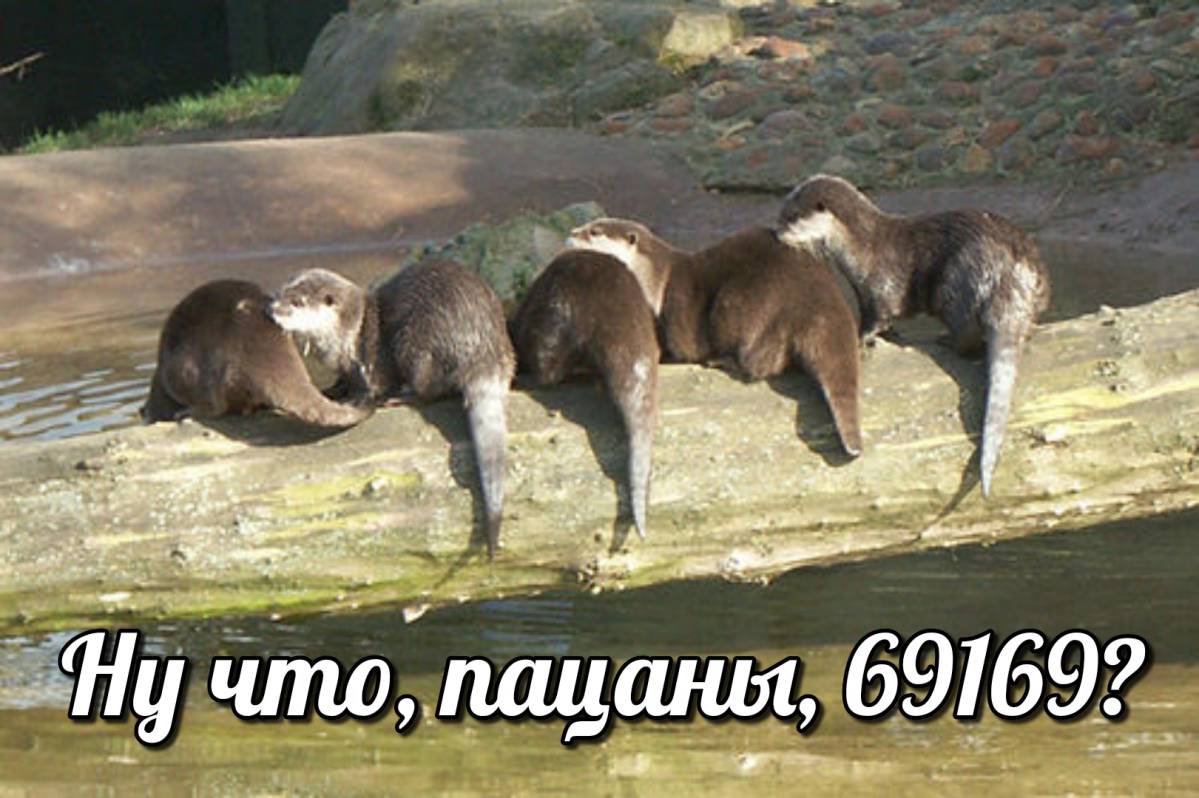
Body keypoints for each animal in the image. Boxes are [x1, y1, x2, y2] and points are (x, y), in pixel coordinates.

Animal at [270, 260, 515, 558]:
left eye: (296, 302)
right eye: (280, 292)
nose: (272, 308)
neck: (349, 335)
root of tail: (483, 348)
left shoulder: (372, 360)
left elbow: (372, 388)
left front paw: (355, 401)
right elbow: (342, 382)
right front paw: (331, 390)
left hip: (417, 343)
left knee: (430, 388)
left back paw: (402, 396)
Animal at [567, 218, 863, 457]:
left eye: (594, 231)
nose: (571, 233)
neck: (657, 281)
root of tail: (818, 298)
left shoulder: (675, 311)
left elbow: (676, 350)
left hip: (746, 303)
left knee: (760, 364)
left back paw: (723, 361)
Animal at [776, 174, 1051, 495]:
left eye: (792, 216)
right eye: (782, 212)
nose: (777, 232)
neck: (861, 248)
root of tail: (1009, 276)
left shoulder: (879, 286)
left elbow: (878, 316)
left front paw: (862, 338)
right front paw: (893, 336)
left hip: (955, 285)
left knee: (967, 337)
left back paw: (945, 340)